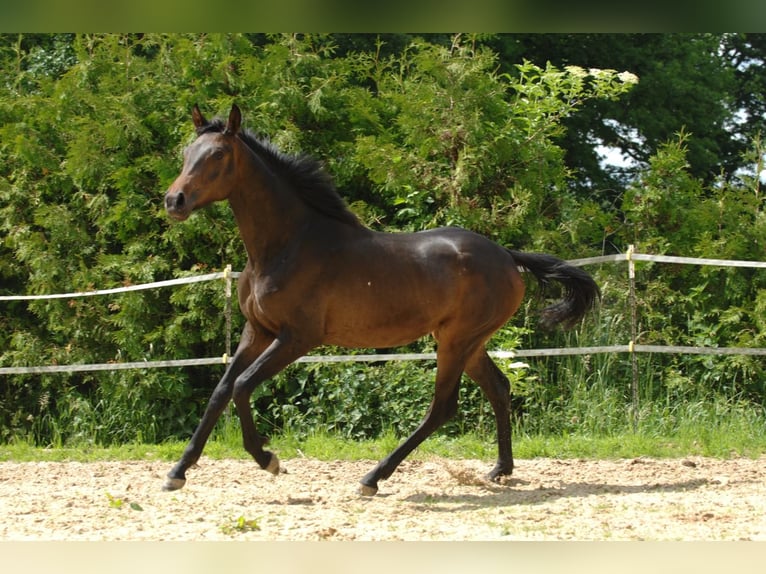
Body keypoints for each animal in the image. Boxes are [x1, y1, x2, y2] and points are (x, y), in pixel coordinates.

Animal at [165, 104, 604, 500]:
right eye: (187, 153)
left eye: (218, 155)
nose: (175, 201)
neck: (287, 245)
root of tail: (507, 256)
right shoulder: (255, 331)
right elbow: (221, 391)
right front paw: (177, 472)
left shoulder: (297, 338)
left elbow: (241, 386)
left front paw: (269, 460)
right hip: (468, 342)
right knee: (498, 387)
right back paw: (500, 469)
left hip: (456, 341)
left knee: (442, 407)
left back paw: (373, 478)